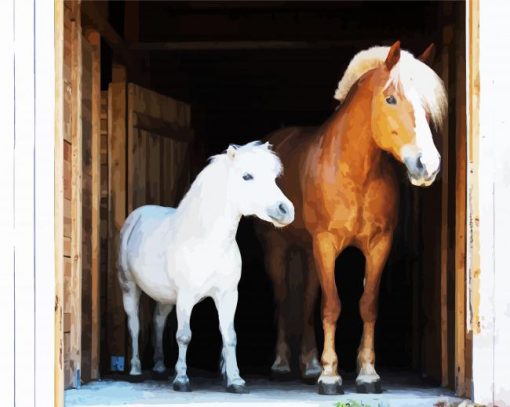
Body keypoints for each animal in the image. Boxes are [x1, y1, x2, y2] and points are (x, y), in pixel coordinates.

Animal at [117, 142, 292, 394]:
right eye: (247, 176)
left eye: (274, 177)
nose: (285, 210)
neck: (207, 241)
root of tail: (136, 216)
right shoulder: (186, 296)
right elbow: (184, 336)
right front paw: (181, 380)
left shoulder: (228, 295)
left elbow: (230, 336)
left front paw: (236, 381)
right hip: (129, 287)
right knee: (134, 325)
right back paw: (135, 371)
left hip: (165, 297)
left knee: (158, 322)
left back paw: (159, 368)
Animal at [255, 42, 446, 396]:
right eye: (391, 98)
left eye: (428, 105)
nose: (427, 165)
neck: (355, 172)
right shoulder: (326, 243)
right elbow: (332, 305)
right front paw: (330, 376)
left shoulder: (378, 244)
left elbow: (367, 304)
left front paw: (367, 373)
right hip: (279, 249)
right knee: (283, 297)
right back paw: (282, 364)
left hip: (308, 250)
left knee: (307, 300)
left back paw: (309, 364)